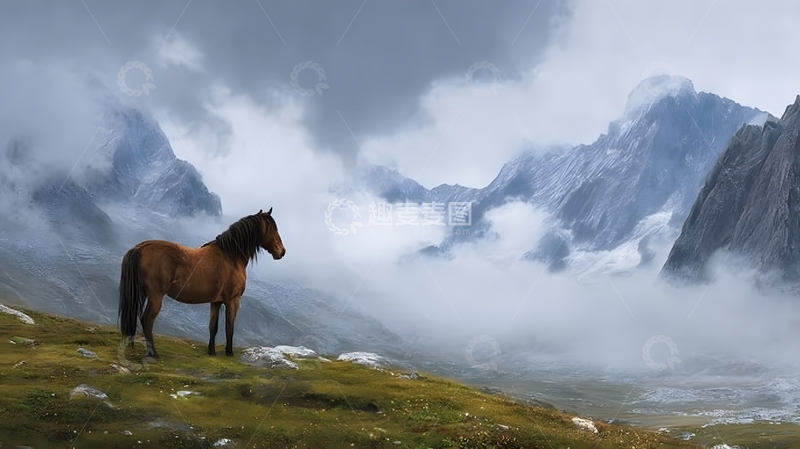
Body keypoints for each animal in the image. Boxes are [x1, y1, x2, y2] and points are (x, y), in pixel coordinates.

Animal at [118, 208, 285, 358]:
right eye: (274, 228)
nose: (282, 252)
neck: (231, 256)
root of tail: (139, 248)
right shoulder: (233, 300)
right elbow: (229, 327)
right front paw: (229, 352)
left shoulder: (216, 302)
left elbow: (213, 327)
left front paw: (211, 351)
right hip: (156, 296)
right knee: (147, 321)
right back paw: (154, 354)